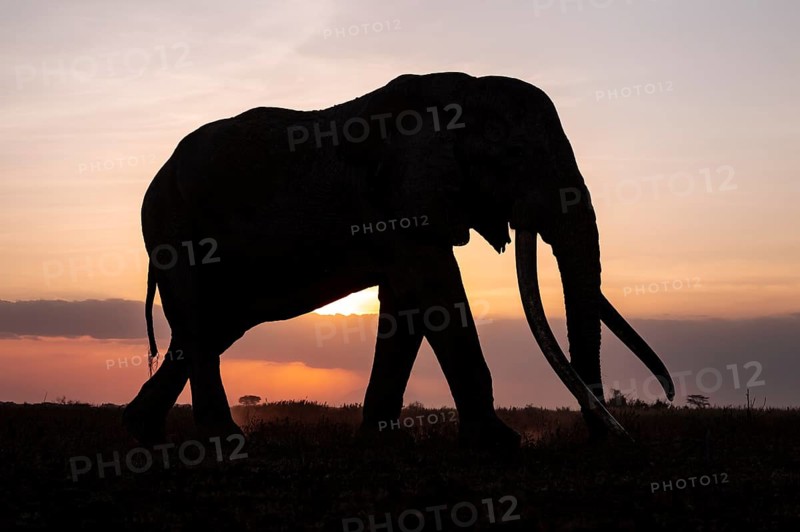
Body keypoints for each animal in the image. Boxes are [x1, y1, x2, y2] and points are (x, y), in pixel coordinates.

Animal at [123, 72, 675, 448]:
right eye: (514, 156)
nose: (609, 437)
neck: (462, 92)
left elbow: (408, 302)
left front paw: (382, 440)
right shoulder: (403, 201)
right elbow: (437, 290)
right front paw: (499, 443)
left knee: (217, 325)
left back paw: (142, 430)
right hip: (172, 225)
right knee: (201, 321)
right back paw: (225, 442)